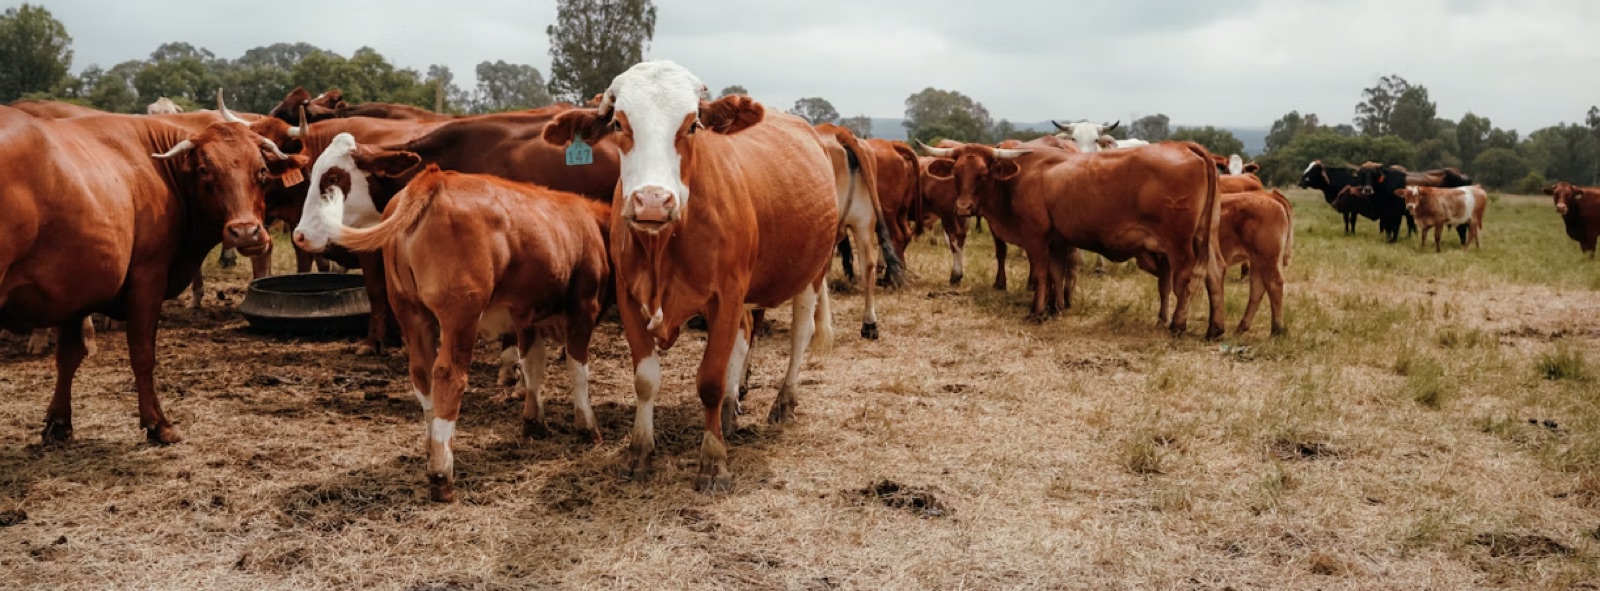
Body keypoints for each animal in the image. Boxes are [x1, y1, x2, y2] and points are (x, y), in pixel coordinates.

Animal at [0, 108, 302, 445]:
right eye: (204, 169)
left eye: (261, 170)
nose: (246, 232)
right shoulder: (147, 279)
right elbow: (143, 354)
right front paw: (158, 423)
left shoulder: (74, 289)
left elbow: (68, 356)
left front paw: (59, 423)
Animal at [318, 164, 612, 502]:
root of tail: (433, 178)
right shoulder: (583, 308)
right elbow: (578, 370)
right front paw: (587, 428)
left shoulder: (526, 316)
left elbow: (533, 368)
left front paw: (534, 423)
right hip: (461, 314)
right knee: (449, 376)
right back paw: (442, 475)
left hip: (410, 312)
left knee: (422, 375)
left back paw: (432, 449)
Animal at [541, 60, 840, 492]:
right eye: (618, 122)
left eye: (693, 125)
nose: (652, 201)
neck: (664, 245)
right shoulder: (630, 297)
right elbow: (646, 379)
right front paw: (639, 452)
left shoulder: (726, 295)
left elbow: (710, 381)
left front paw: (713, 461)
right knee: (744, 335)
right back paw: (732, 409)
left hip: (811, 273)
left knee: (801, 334)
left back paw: (783, 402)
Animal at [920, 140, 1226, 337]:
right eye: (956, 173)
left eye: (983, 174)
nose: (963, 207)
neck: (1019, 178)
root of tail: (1184, 146)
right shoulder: (1058, 240)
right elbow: (1056, 273)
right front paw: (1055, 308)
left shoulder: (1036, 238)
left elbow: (1041, 274)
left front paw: (1037, 311)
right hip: (1207, 236)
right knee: (1214, 273)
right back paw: (1214, 328)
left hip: (1179, 243)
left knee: (1186, 277)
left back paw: (1178, 324)